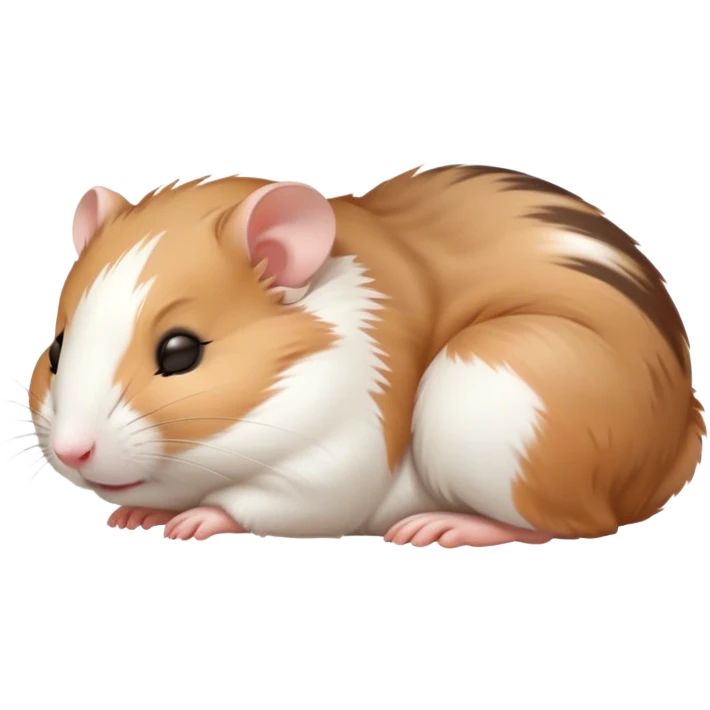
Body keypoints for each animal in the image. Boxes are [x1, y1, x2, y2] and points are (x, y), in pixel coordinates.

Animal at [27, 165, 706, 547]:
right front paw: (136, 512)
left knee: (567, 524)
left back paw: (448, 528)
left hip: (488, 389)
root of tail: (677, 439)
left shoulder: (335, 456)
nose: (73, 452)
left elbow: (267, 503)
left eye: (180, 353)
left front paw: (197, 520)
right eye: (57, 348)